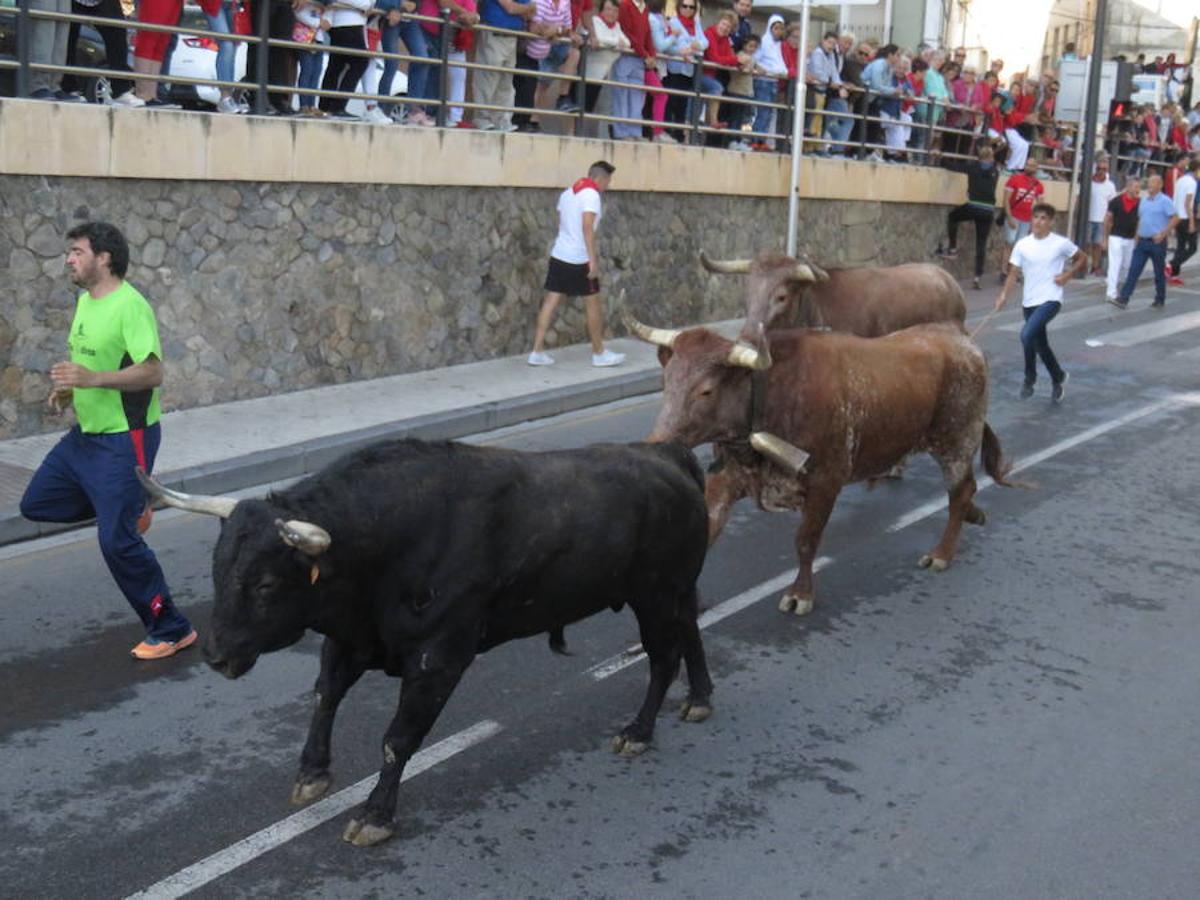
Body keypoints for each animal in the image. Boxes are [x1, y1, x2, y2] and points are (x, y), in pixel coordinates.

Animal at [145, 441, 715, 849]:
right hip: (676, 591)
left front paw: (375, 815)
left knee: (663, 657)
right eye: (217, 569)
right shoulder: (352, 640)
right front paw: (312, 773)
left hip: (654, 594)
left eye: (264, 583)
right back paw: (699, 699)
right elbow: (325, 696)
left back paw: (638, 732)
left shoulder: (438, 656)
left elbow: (398, 738)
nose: (215, 655)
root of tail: (667, 454)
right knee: (690, 629)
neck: (386, 539)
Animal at [633, 316, 1017, 619]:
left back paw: (942, 553)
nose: (656, 443)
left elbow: (806, 541)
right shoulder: (724, 481)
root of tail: (959, 336)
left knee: (960, 491)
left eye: (706, 391)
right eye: (666, 382)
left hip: (957, 442)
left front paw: (800, 594)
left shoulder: (825, 482)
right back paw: (974, 515)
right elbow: (707, 532)